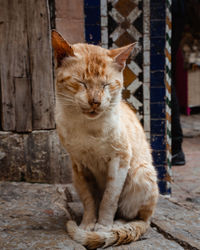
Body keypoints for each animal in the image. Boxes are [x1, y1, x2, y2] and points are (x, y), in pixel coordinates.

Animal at [52, 30, 159, 249]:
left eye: (106, 85)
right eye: (81, 82)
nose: (95, 102)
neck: (87, 128)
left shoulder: (119, 161)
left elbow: (109, 199)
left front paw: (102, 227)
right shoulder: (80, 165)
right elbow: (90, 200)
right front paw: (87, 225)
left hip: (141, 172)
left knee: (139, 219)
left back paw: (117, 225)